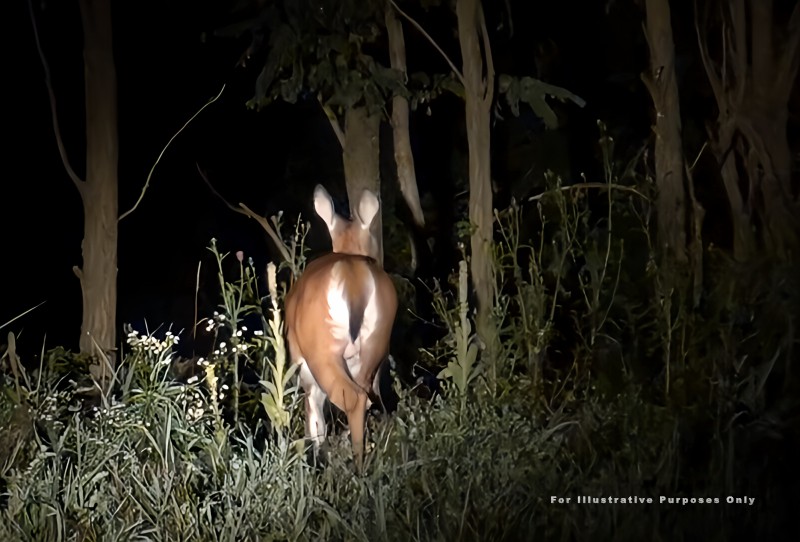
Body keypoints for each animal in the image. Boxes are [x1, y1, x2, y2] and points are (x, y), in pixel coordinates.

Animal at [286, 184, 398, 472]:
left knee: (351, 398)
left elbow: (314, 418)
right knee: (368, 397)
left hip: (322, 352)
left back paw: (356, 468)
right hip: (374, 345)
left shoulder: (304, 367)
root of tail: (354, 279)